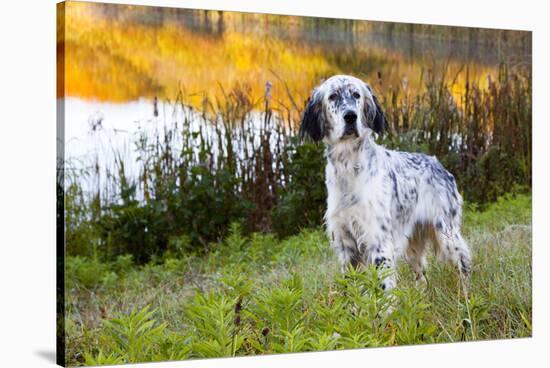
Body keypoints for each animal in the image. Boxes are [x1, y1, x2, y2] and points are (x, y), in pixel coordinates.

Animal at [300, 75, 472, 292]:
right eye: (332, 96)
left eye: (356, 95)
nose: (350, 117)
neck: (349, 168)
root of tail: (438, 164)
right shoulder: (346, 245)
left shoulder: (378, 241)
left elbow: (382, 289)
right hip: (413, 244)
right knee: (422, 277)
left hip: (446, 233)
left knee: (464, 262)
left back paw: (465, 296)